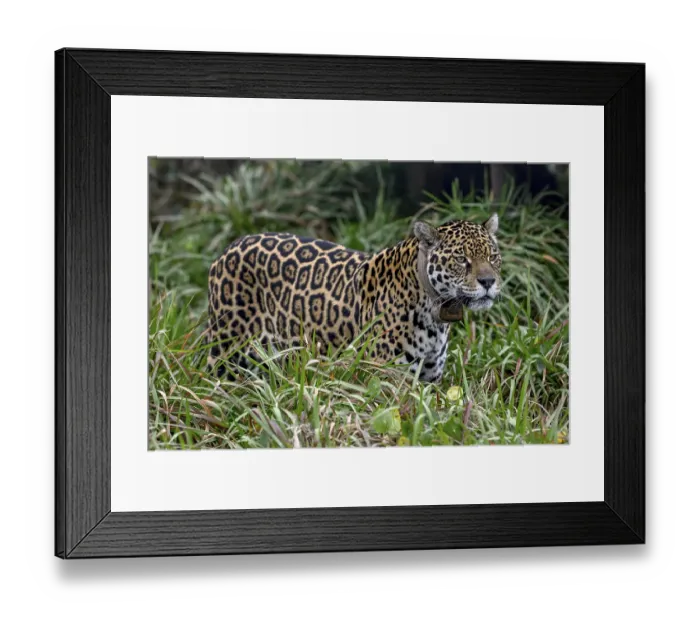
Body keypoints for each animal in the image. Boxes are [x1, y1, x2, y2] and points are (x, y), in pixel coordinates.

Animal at [206, 214, 502, 383]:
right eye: (461, 260)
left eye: (493, 256)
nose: (488, 282)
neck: (434, 313)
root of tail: (228, 249)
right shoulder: (385, 379)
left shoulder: (429, 381)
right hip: (225, 352)